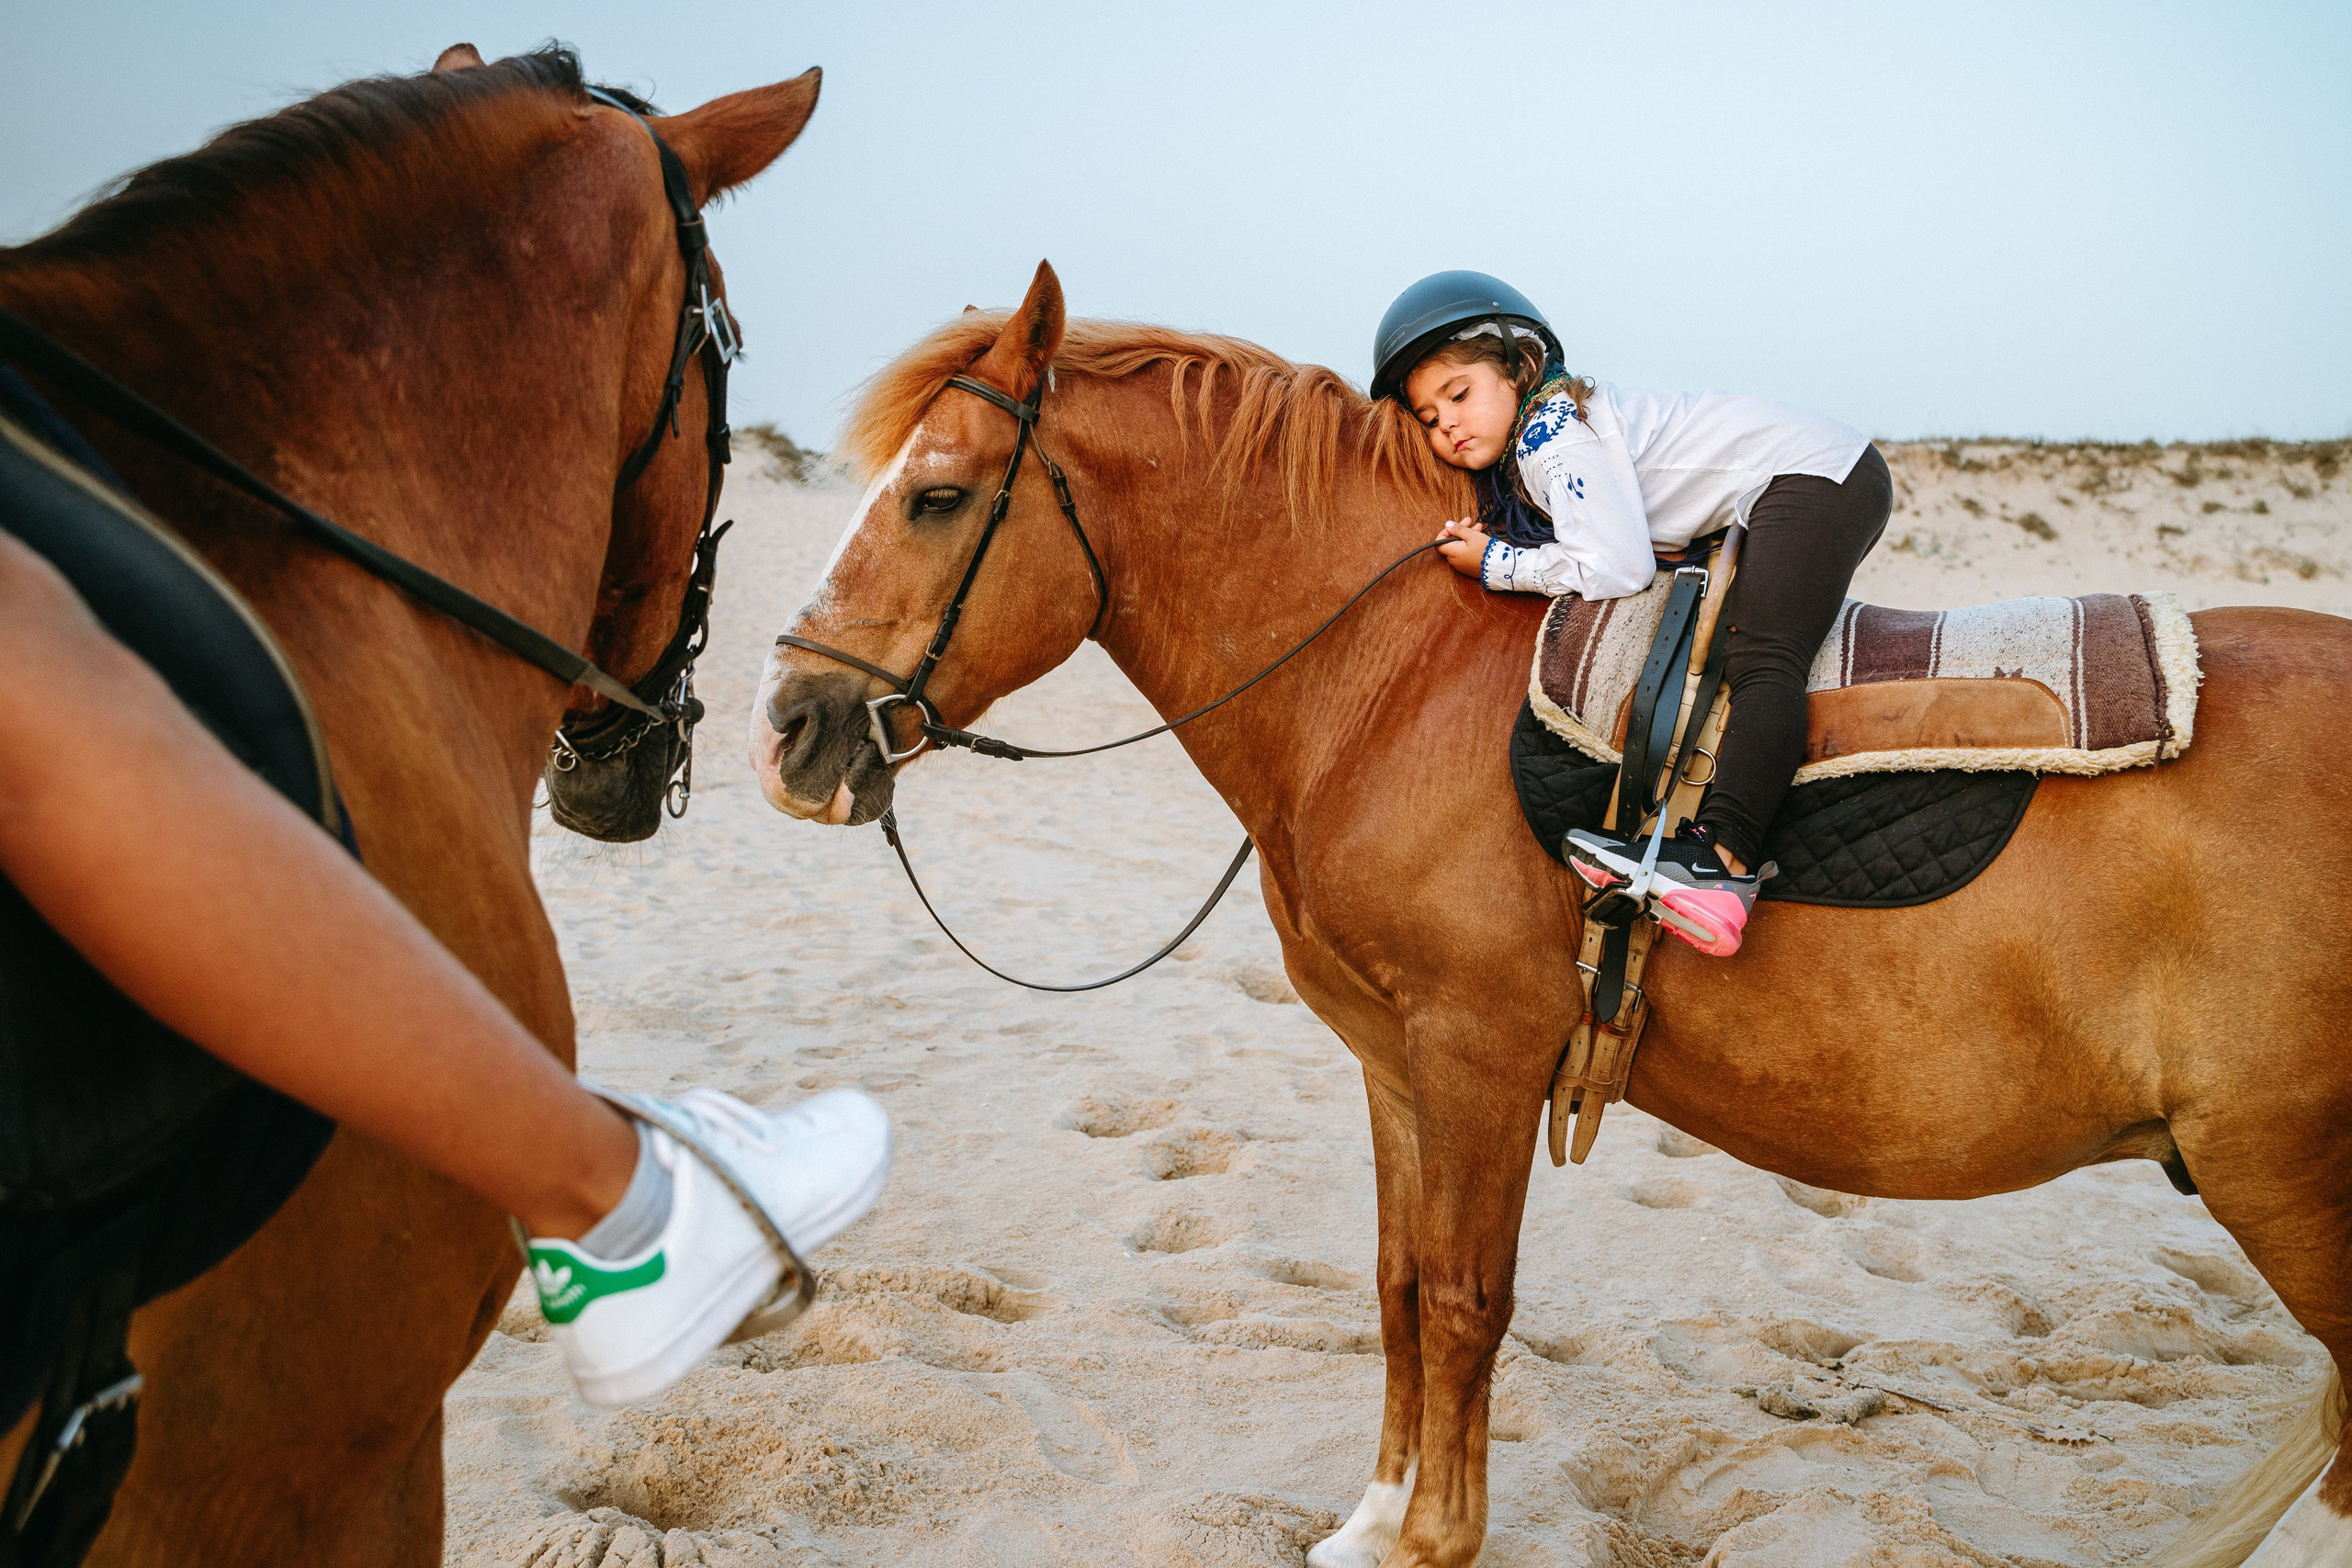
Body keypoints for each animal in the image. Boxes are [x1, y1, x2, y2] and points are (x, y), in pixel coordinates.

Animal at [748, 262, 2352, 1568]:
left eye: (938, 494)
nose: (786, 729)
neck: (1398, 677)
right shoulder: (1398, 1062)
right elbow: (1401, 1284)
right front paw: (1374, 1518)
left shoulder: (1478, 1053)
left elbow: (1467, 1297)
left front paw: (1433, 1536)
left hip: (2279, 1167)